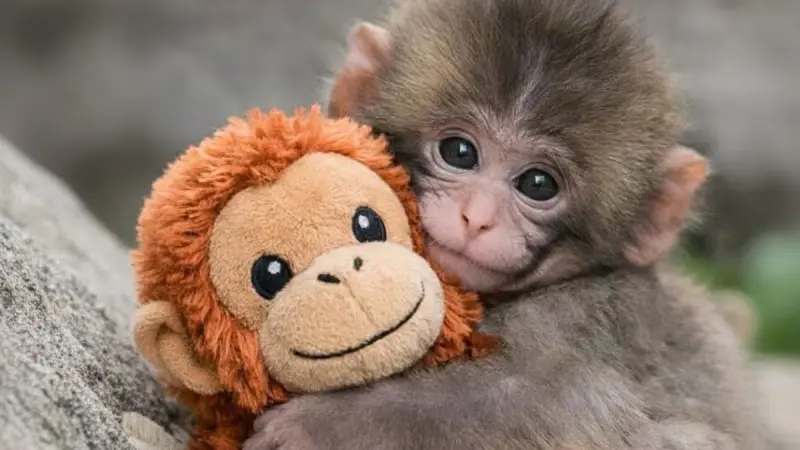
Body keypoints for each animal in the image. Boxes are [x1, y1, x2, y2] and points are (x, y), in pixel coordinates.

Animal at [244, 0, 760, 449]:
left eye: (537, 184)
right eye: (459, 152)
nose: (478, 218)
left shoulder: (590, 312)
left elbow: (565, 396)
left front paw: (320, 426)